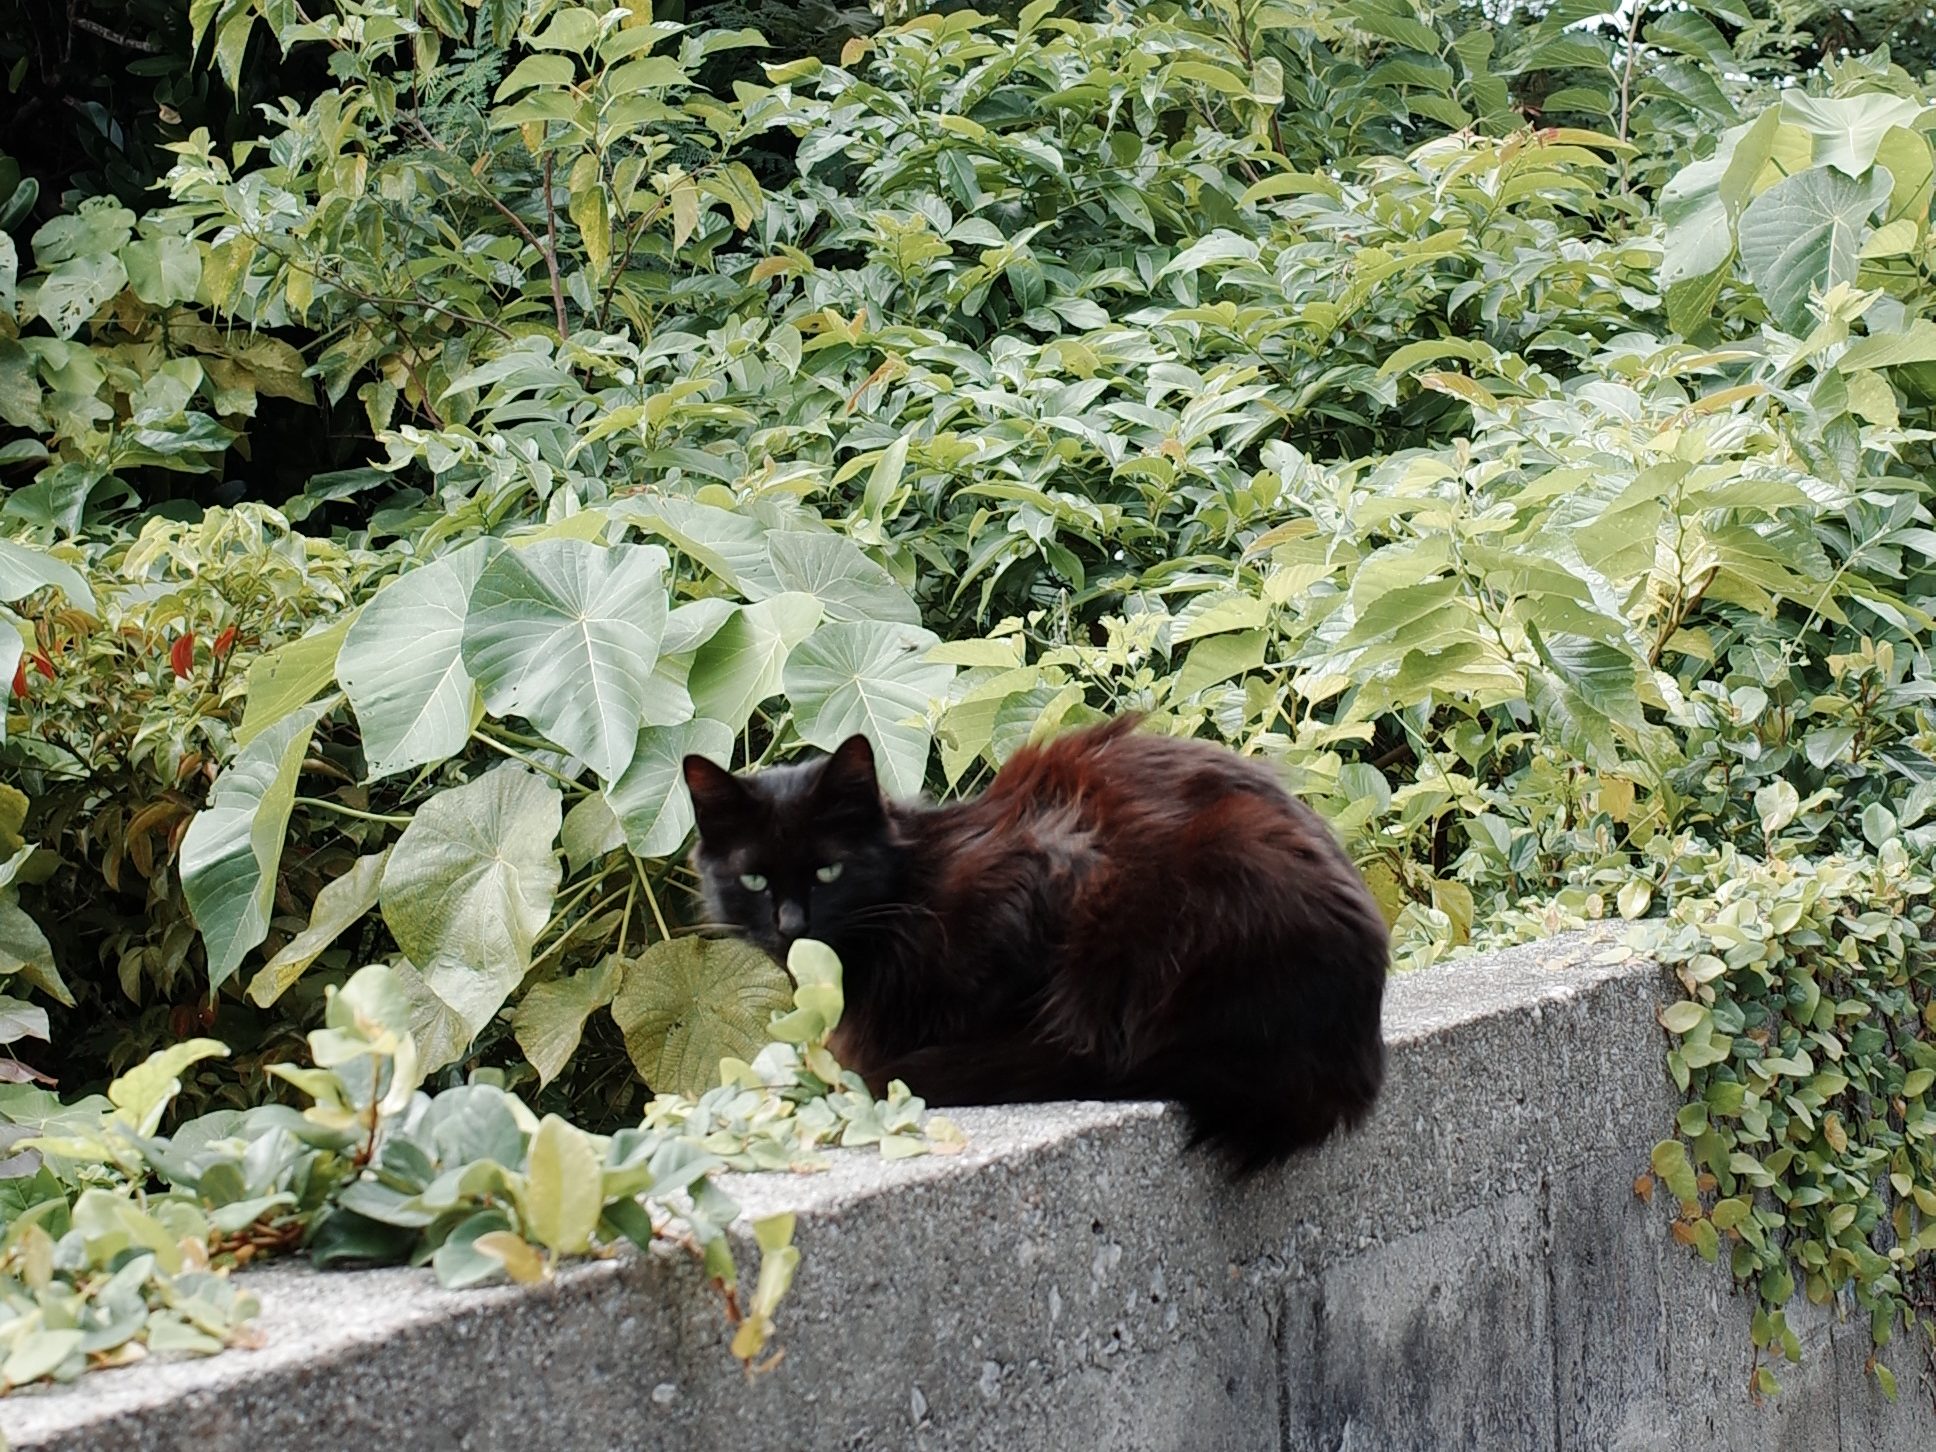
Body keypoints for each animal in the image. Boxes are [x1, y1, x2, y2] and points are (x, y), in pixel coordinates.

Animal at [681, 715, 1389, 1174]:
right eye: (753, 879)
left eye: (829, 871)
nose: (790, 925)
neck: (915, 885)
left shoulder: (1039, 871)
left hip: (1210, 870)